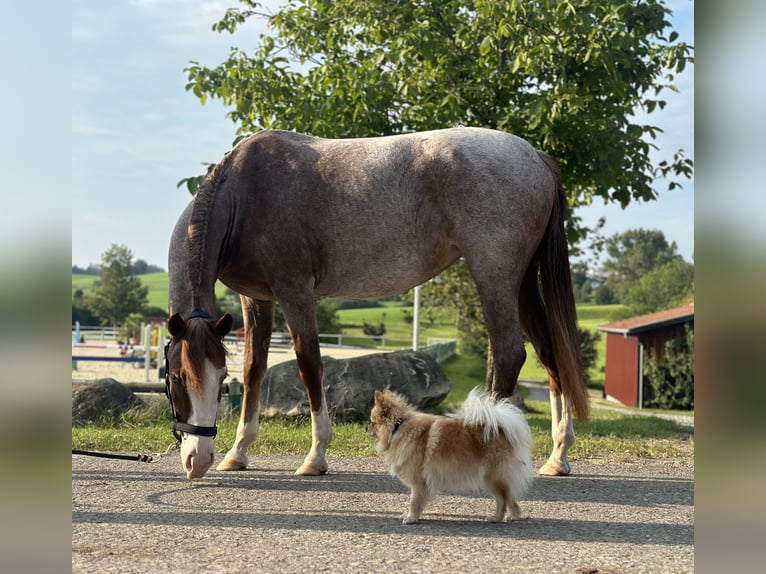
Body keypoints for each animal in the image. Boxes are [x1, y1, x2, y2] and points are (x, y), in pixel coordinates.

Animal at [166, 127, 588, 482]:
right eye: (177, 378)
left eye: (217, 381)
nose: (198, 460)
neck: (245, 191)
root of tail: (534, 156)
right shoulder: (256, 298)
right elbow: (255, 369)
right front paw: (238, 453)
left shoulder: (295, 291)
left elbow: (309, 365)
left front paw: (315, 456)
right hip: (524, 283)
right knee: (550, 357)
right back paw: (557, 457)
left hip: (494, 277)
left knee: (509, 356)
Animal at [368, 390, 536, 524]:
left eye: (372, 422)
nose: (366, 428)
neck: (398, 426)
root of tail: (502, 429)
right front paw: (412, 515)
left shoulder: (418, 482)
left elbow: (414, 501)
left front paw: (411, 518)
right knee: (509, 497)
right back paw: (512, 516)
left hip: (492, 478)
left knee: (502, 499)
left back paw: (497, 518)